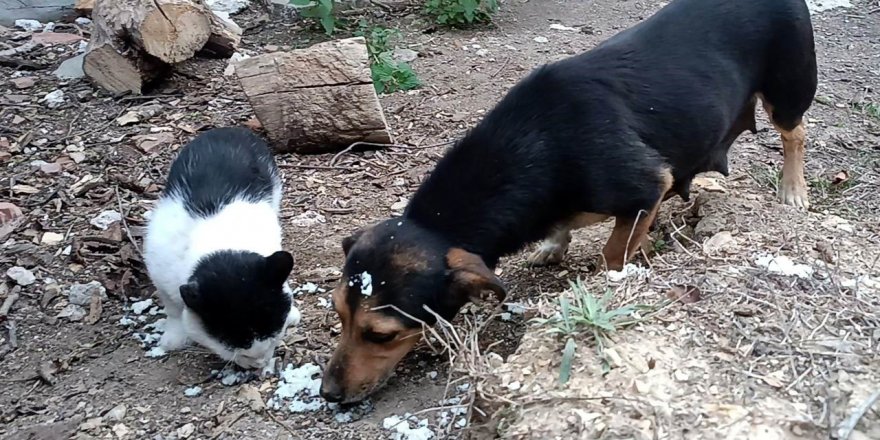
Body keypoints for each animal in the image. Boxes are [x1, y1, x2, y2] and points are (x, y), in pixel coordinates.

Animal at [142, 128, 300, 372]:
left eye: (273, 338)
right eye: (236, 348)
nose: (260, 362)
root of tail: (228, 129)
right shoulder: (159, 272)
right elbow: (173, 309)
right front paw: (173, 338)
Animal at [322, 0, 820, 402]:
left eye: (380, 336)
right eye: (339, 314)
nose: (328, 395)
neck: (533, 145)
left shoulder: (645, 184)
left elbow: (614, 252)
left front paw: (620, 270)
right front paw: (554, 245)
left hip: (788, 89)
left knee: (795, 133)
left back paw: (793, 190)